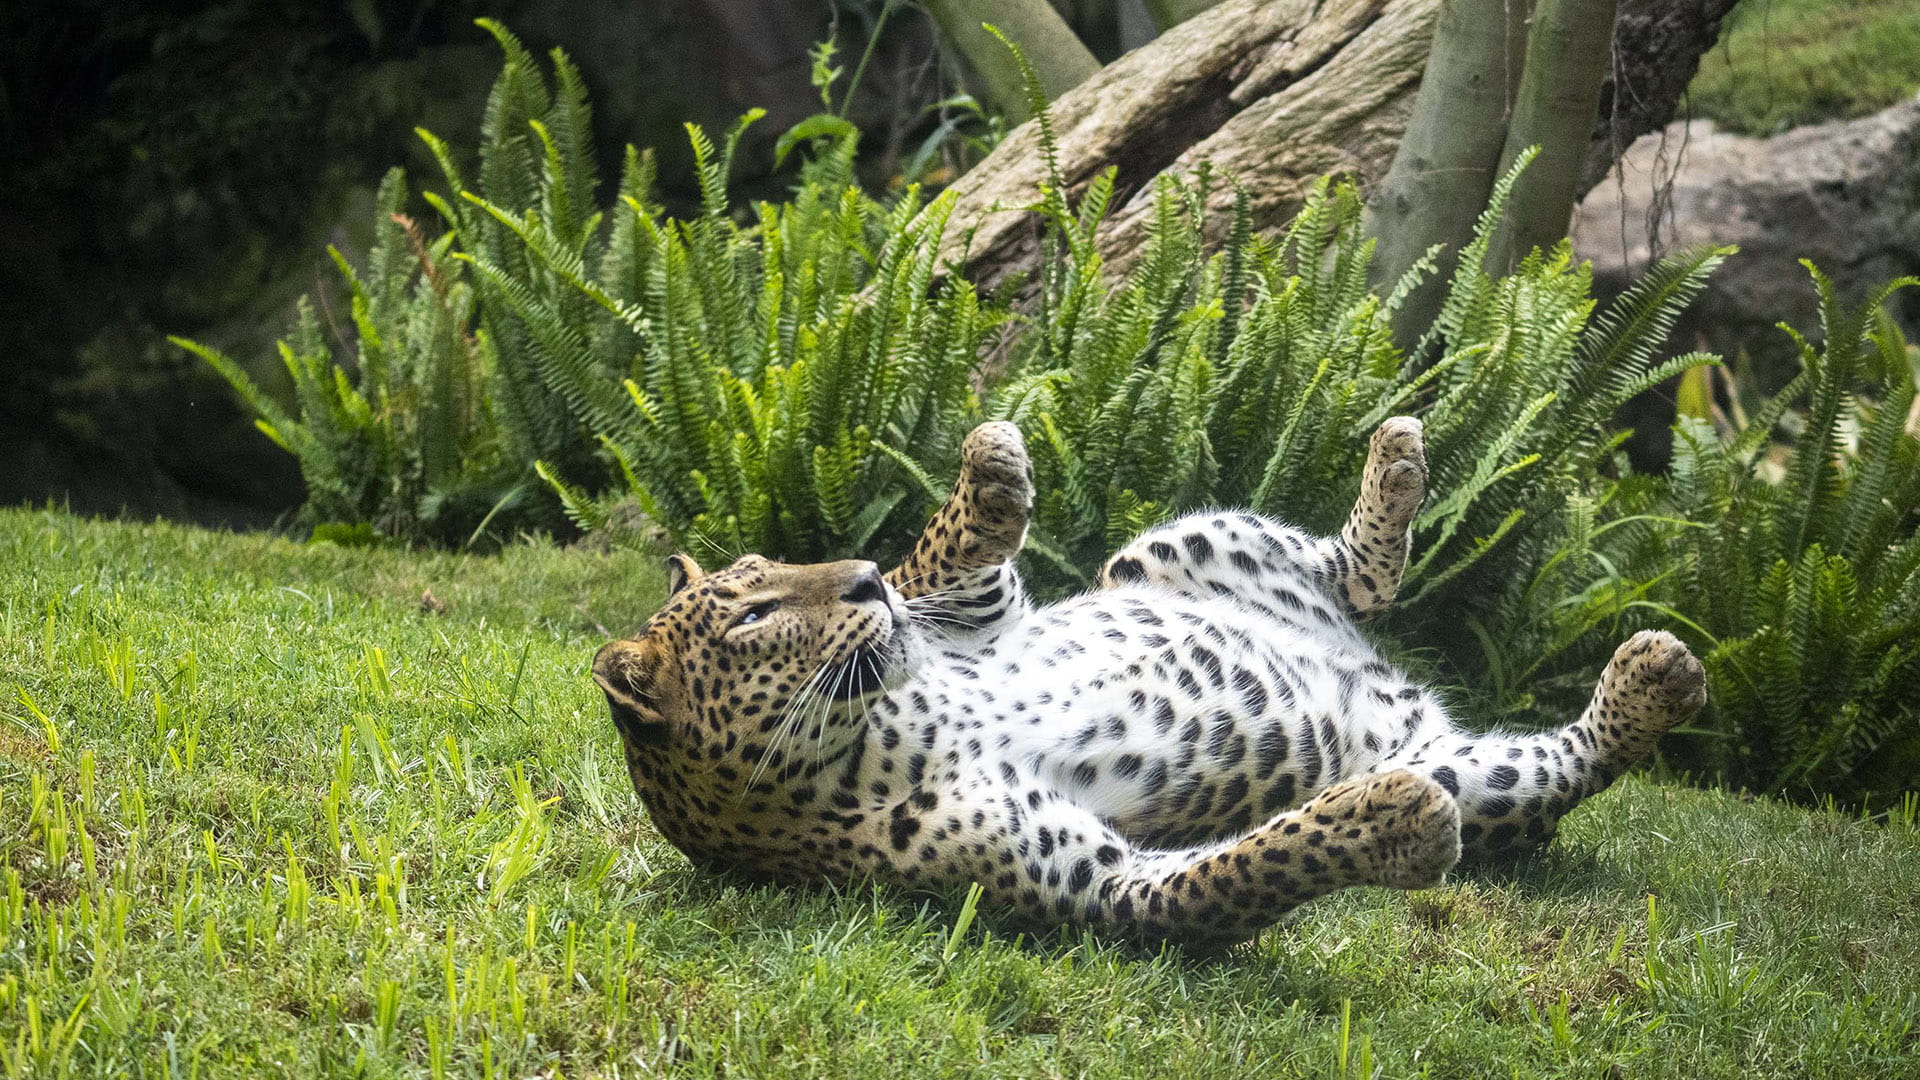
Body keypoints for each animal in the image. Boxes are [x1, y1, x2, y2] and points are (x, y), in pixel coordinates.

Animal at [592, 417, 1707, 947]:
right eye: (752, 617)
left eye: (770, 567)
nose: (856, 576)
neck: (876, 728)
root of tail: (1386, 681)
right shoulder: (1107, 890)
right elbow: (1251, 866)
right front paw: (1386, 825)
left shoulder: (973, 622)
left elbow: (943, 558)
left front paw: (989, 469)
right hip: (1476, 775)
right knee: (1560, 767)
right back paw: (1654, 677)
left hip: (1176, 544)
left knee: (1356, 571)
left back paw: (1396, 459)